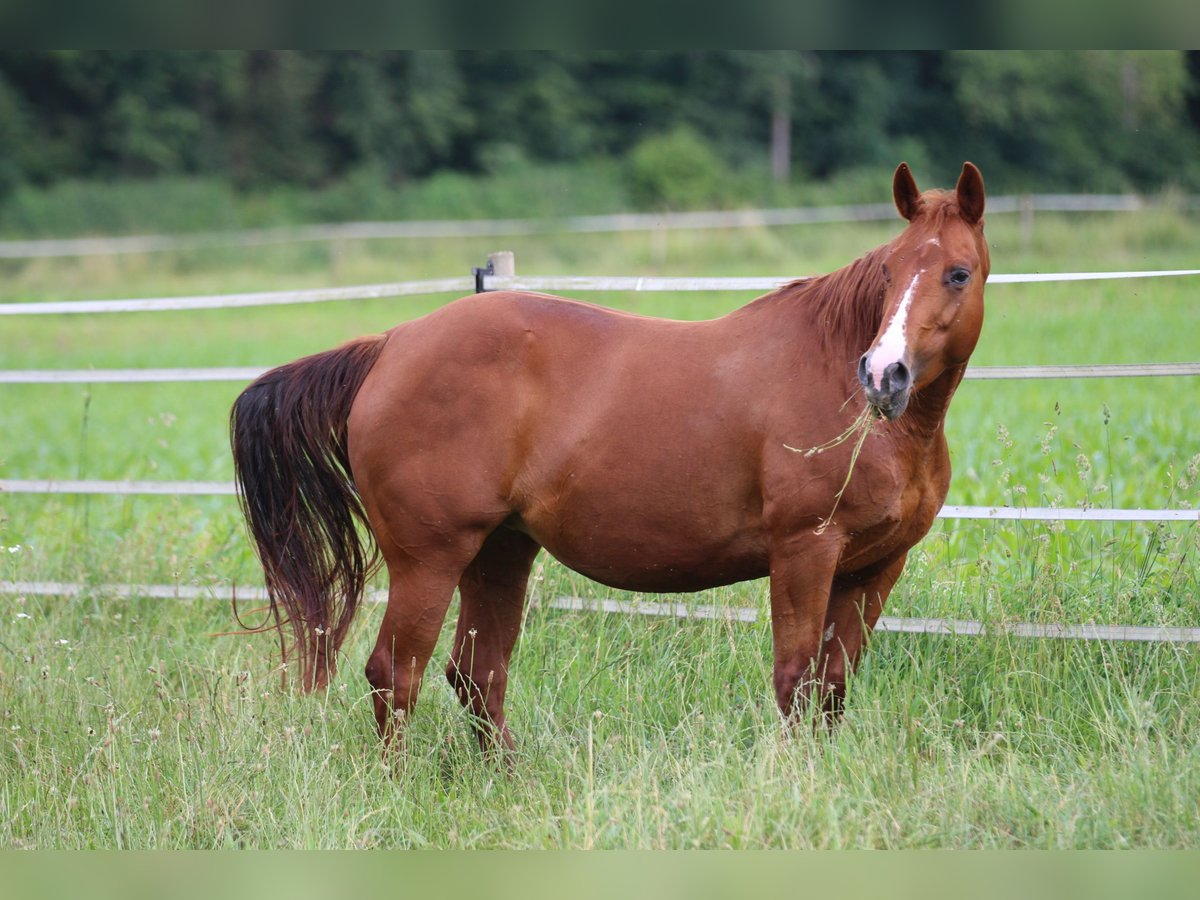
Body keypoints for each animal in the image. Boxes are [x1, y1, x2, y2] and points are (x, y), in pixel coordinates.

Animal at [231, 164, 984, 753]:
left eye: (958, 272)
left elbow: (832, 687)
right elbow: (795, 681)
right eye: (888, 270)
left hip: (500, 552)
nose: (883, 374)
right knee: (396, 673)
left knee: (476, 674)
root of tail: (388, 346)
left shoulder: (875, 568)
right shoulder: (806, 552)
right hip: (431, 559)